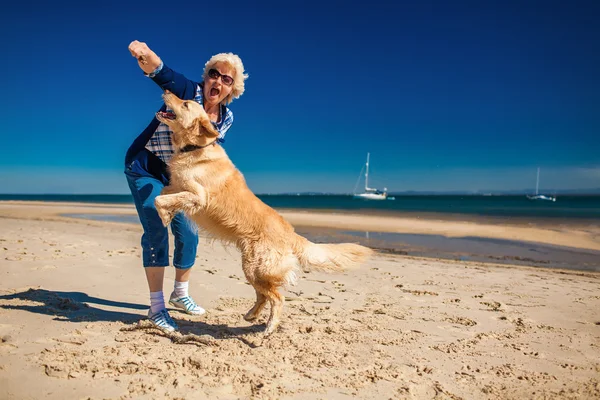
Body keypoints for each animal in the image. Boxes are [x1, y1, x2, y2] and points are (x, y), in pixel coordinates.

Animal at [155, 90, 370, 334]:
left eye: (185, 104)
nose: (166, 91)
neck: (195, 147)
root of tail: (291, 234)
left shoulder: (198, 196)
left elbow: (160, 199)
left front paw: (164, 216)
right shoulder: (178, 185)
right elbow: (164, 192)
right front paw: (169, 213)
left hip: (257, 268)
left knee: (277, 298)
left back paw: (269, 327)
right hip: (251, 268)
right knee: (264, 296)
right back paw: (251, 315)